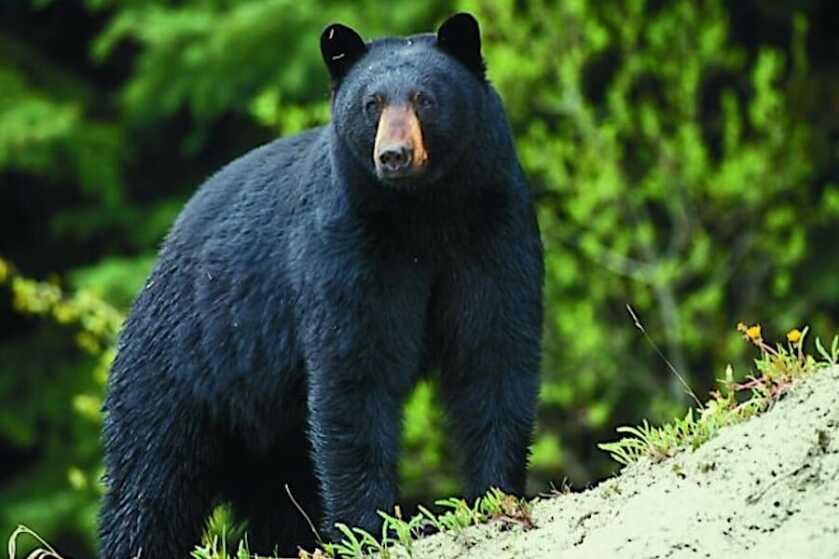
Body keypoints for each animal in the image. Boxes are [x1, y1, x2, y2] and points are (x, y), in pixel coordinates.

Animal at [98, 12, 543, 559]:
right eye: (371, 104)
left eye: (424, 98)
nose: (394, 155)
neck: (423, 212)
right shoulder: (347, 247)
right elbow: (354, 371)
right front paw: (370, 527)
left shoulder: (492, 227)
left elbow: (492, 349)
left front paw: (496, 495)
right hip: (181, 370)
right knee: (150, 479)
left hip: (267, 427)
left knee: (279, 493)